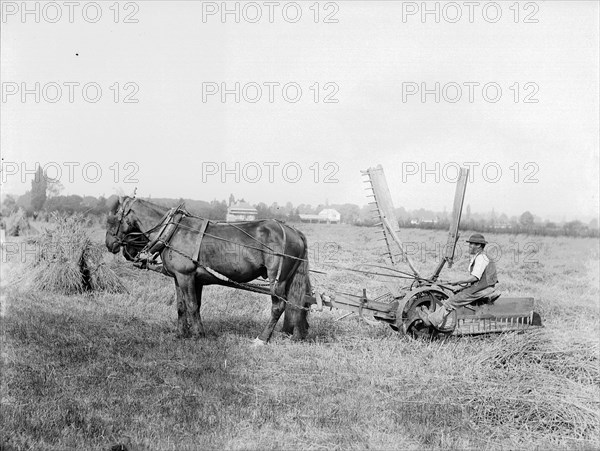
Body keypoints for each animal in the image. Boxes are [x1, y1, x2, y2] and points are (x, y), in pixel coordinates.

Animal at [104, 197, 310, 342]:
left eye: (112, 219)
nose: (109, 244)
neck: (173, 231)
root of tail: (292, 230)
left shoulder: (186, 276)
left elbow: (192, 305)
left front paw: (198, 334)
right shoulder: (181, 277)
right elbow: (181, 306)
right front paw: (181, 334)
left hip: (278, 279)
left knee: (278, 306)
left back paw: (262, 339)